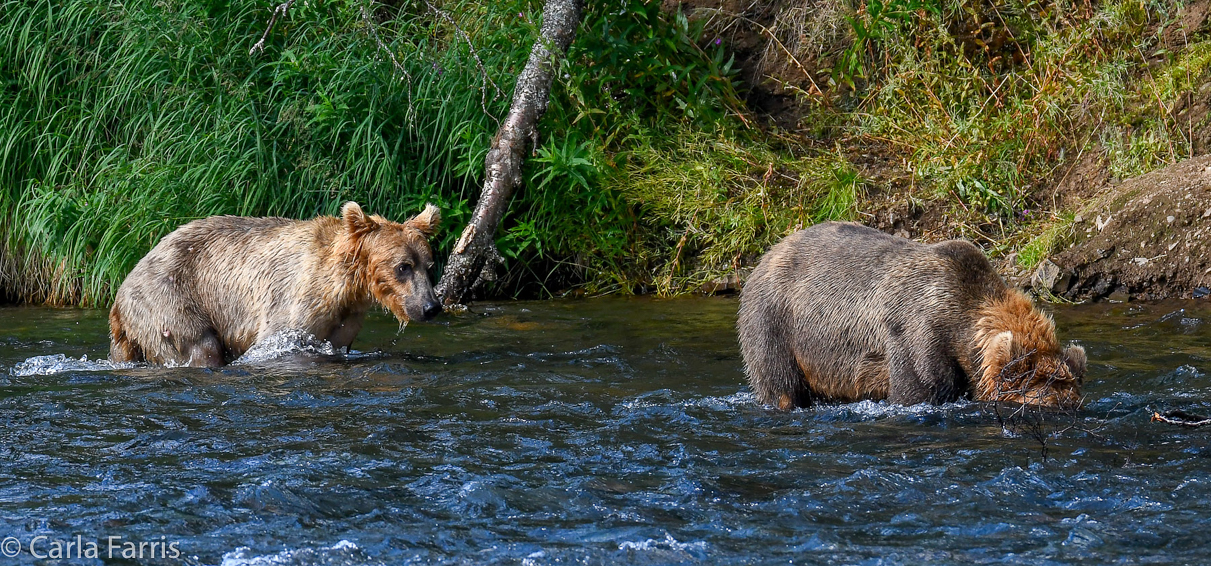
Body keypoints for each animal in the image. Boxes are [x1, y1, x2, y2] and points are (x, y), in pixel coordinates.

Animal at [111, 202, 443, 368]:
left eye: (429, 266)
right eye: (403, 267)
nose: (431, 307)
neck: (345, 286)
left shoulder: (345, 322)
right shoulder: (295, 303)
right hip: (169, 299)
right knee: (201, 346)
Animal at [736, 221, 1089, 412]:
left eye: (1073, 397)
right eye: (1045, 398)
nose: (1066, 403)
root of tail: (768, 253)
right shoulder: (917, 335)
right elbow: (915, 391)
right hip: (775, 321)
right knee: (780, 385)